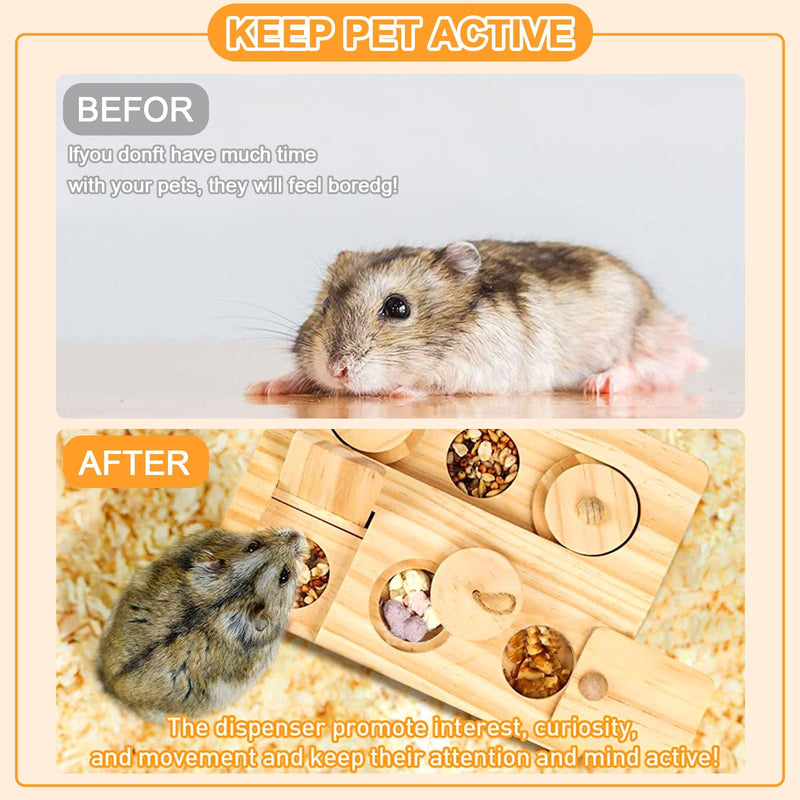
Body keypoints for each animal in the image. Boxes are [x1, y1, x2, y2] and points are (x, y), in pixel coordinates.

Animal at [246, 240, 705, 398]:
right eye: (324, 304)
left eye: (398, 308)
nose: (337, 371)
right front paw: (266, 386)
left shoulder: (479, 368)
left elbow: (429, 382)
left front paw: (398, 390)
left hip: (646, 335)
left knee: (656, 366)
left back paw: (602, 383)